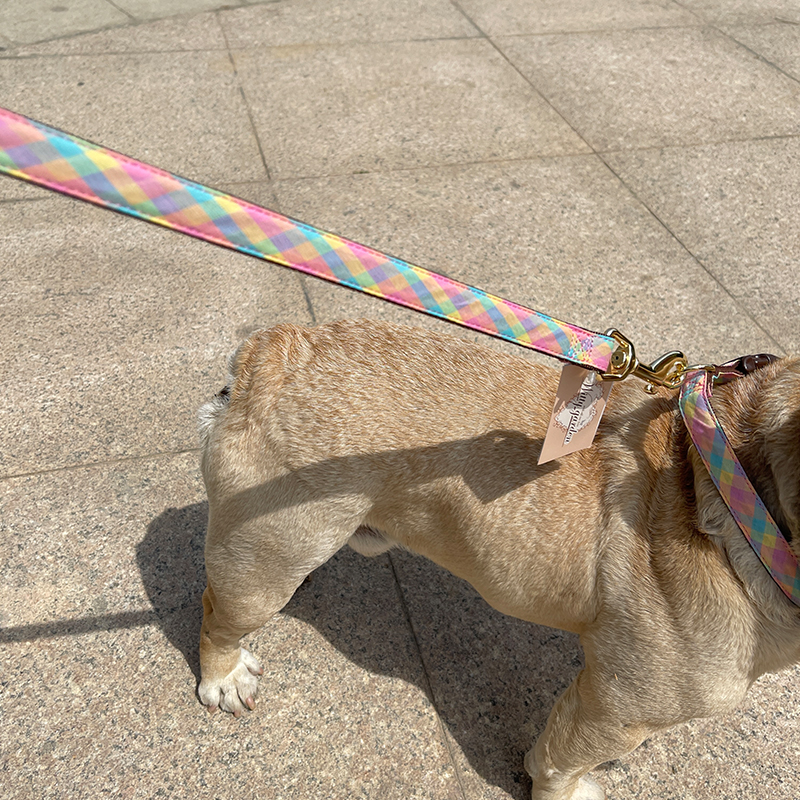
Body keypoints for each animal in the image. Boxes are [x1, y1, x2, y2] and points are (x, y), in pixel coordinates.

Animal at [195, 320, 800, 800]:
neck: (729, 486)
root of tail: (268, 354)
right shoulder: (617, 709)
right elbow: (558, 763)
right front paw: (566, 794)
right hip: (267, 560)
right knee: (218, 611)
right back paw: (225, 676)